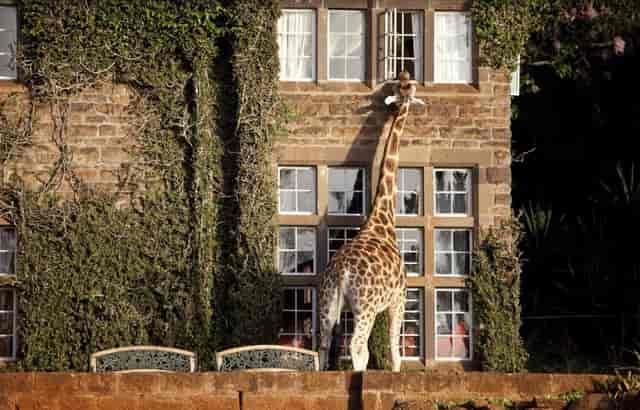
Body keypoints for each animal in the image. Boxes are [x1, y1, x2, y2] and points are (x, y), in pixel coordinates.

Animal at [318, 72, 424, 372]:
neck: (383, 219)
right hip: (364, 307)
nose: (406, 77)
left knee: (323, 345)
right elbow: (394, 350)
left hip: (328, 304)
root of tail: (341, 271)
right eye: (408, 89)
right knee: (357, 347)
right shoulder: (399, 298)